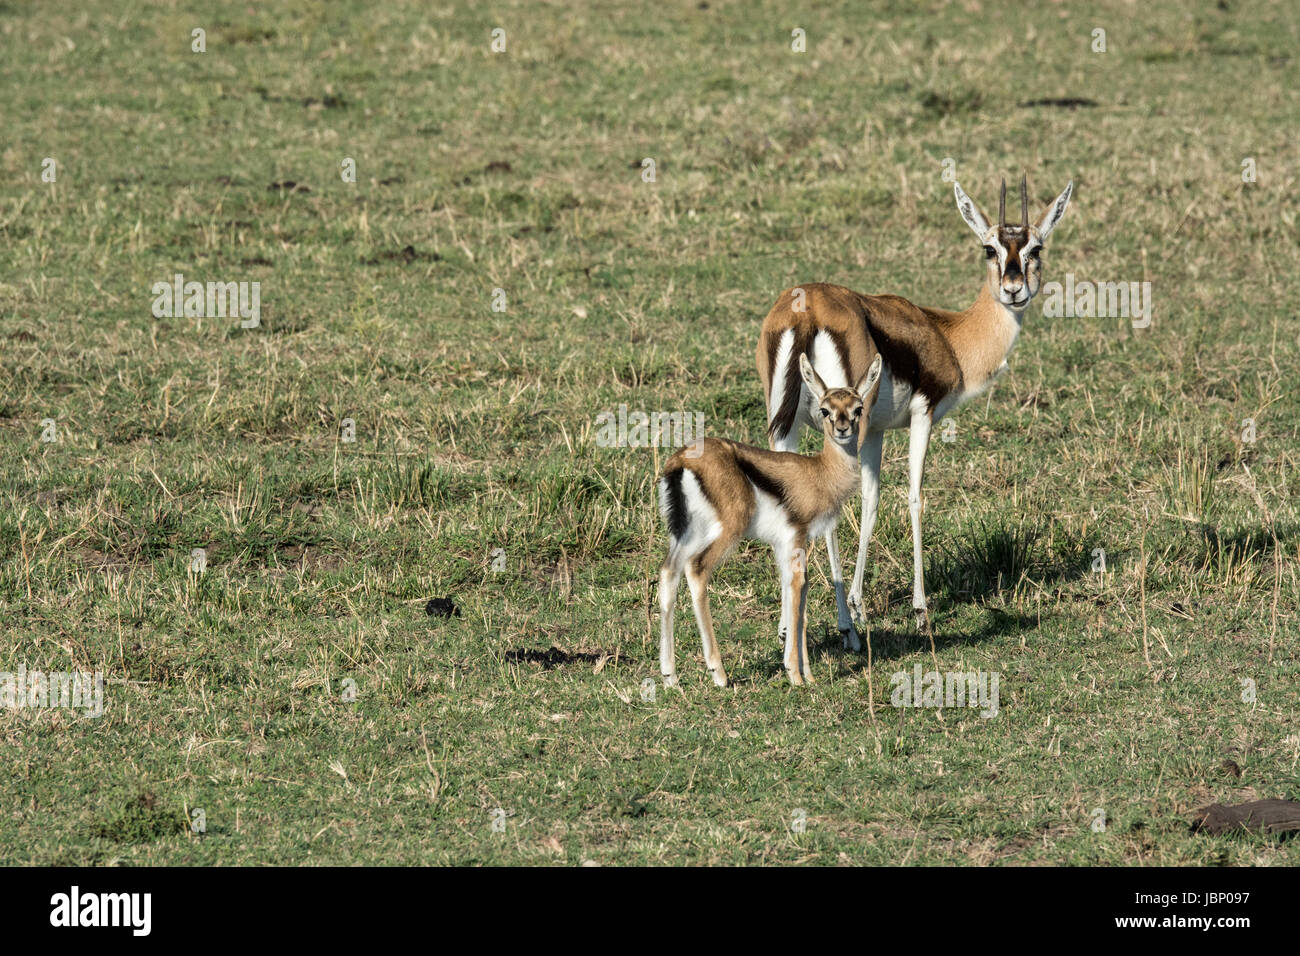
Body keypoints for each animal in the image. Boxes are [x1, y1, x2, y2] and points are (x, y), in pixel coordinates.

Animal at [658, 353, 883, 687]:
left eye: (858, 408)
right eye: (825, 409)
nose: (843, 429)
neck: (820, 473)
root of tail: (680, 461)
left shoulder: (783, 546)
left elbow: (795, 595)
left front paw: (806, 673)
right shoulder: (797, 538)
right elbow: (798, 588)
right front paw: (796, 675)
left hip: (688, 534)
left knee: (668, 572)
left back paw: (670, 676)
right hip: (726, 532)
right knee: (696, 570)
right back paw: (719, 673)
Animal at [756, 175, 1074, 646]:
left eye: (1035, 248)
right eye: (990, 248)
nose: (1013, 289)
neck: (947, 336)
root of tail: (804, 308)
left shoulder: (874, 430)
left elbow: (870, 501)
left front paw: (861, 604)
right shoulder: (921, 415)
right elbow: (915, 497)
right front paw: (920, 611)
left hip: (789, 428)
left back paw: (789, 629)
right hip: (838, 425)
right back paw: (846, 631)